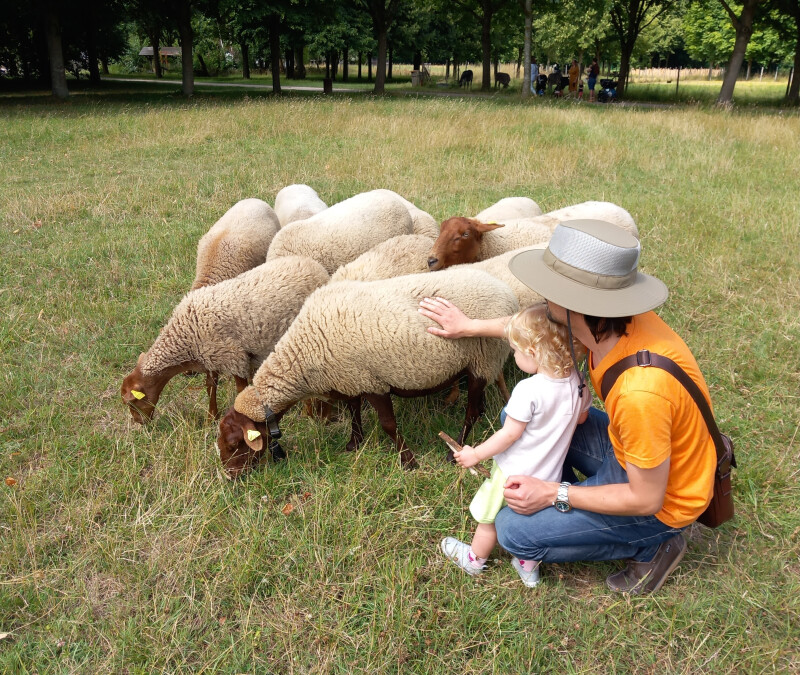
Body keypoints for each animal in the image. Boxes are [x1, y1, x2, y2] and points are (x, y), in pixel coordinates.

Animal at [121, 256, 329, 424]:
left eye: (134, 403)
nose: (140, 423)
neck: (185, 337)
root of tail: (315, 265)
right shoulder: (211, 357)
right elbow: (210, 387)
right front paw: (211, 417)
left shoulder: (234, 357)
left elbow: (239, 388)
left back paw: (309, 414)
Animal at [215, 268, 519, 478]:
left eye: (235, 444)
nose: (230, 478)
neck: (304, 350)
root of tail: (508, 293)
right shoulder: (350, 379)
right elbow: (353, 411)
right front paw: (354, 443)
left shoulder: (373, 383)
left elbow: (388, 425)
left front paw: (408, 461)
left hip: (483, 360)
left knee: (473, 411)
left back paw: (453, 450)